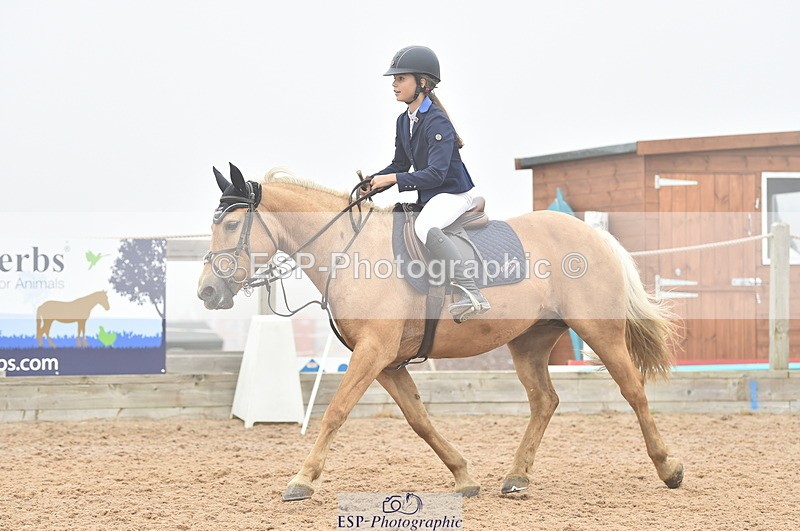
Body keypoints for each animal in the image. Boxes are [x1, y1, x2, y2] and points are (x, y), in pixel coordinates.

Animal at [197, 164, 684, 502]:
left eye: (233, 225)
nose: (207, 291)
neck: (348, 251)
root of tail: (595, 235)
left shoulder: (372, 353)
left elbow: (335, 412)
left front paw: (302, 479)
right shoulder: (388, 362)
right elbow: (420, 420)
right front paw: (464, 476)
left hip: (600, 333)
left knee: (633, 390)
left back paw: (669, 468)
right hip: (529, 342)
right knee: (545, 401)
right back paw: (516, 477)